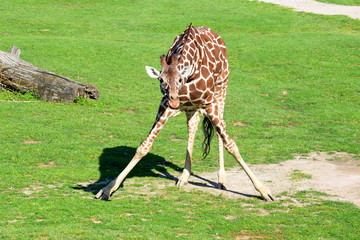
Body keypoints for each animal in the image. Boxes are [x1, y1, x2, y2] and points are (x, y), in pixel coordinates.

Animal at [94, 23, 274, 201]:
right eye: (161, 80)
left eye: (180, 78)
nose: (174, 101)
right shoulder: (165, 104)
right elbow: (144, 146)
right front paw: (107, 189)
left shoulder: (208, 102)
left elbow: (231, 144)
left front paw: (265, 191)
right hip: (190, 106)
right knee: (193, 126)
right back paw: (184, 177)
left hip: (221, 88)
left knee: (219, 128)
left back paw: (221, 180)